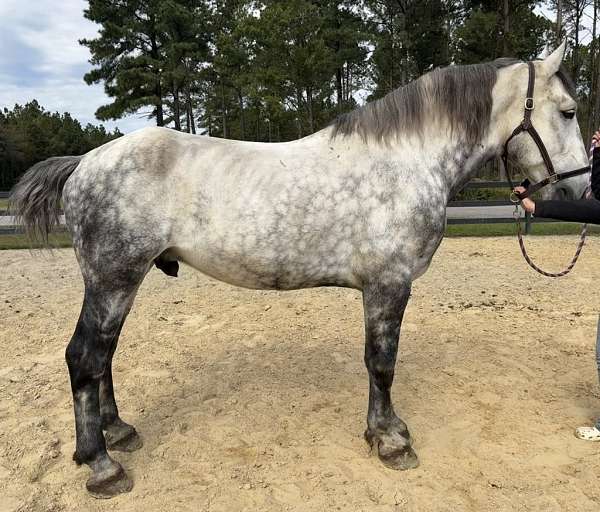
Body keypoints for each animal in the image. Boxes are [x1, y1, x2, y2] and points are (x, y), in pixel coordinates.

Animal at [9, 42, 588, 498]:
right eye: (568, 111)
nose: (580, 188)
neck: (407, 161)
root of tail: (84, 162)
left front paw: (385, 431)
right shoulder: (388, 286)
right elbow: (381, 364)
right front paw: (389, 439)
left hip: (118, 282)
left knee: (102, 358)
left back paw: (119, 432)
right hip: (114, 280)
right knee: (85, 358)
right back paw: (102, 465)